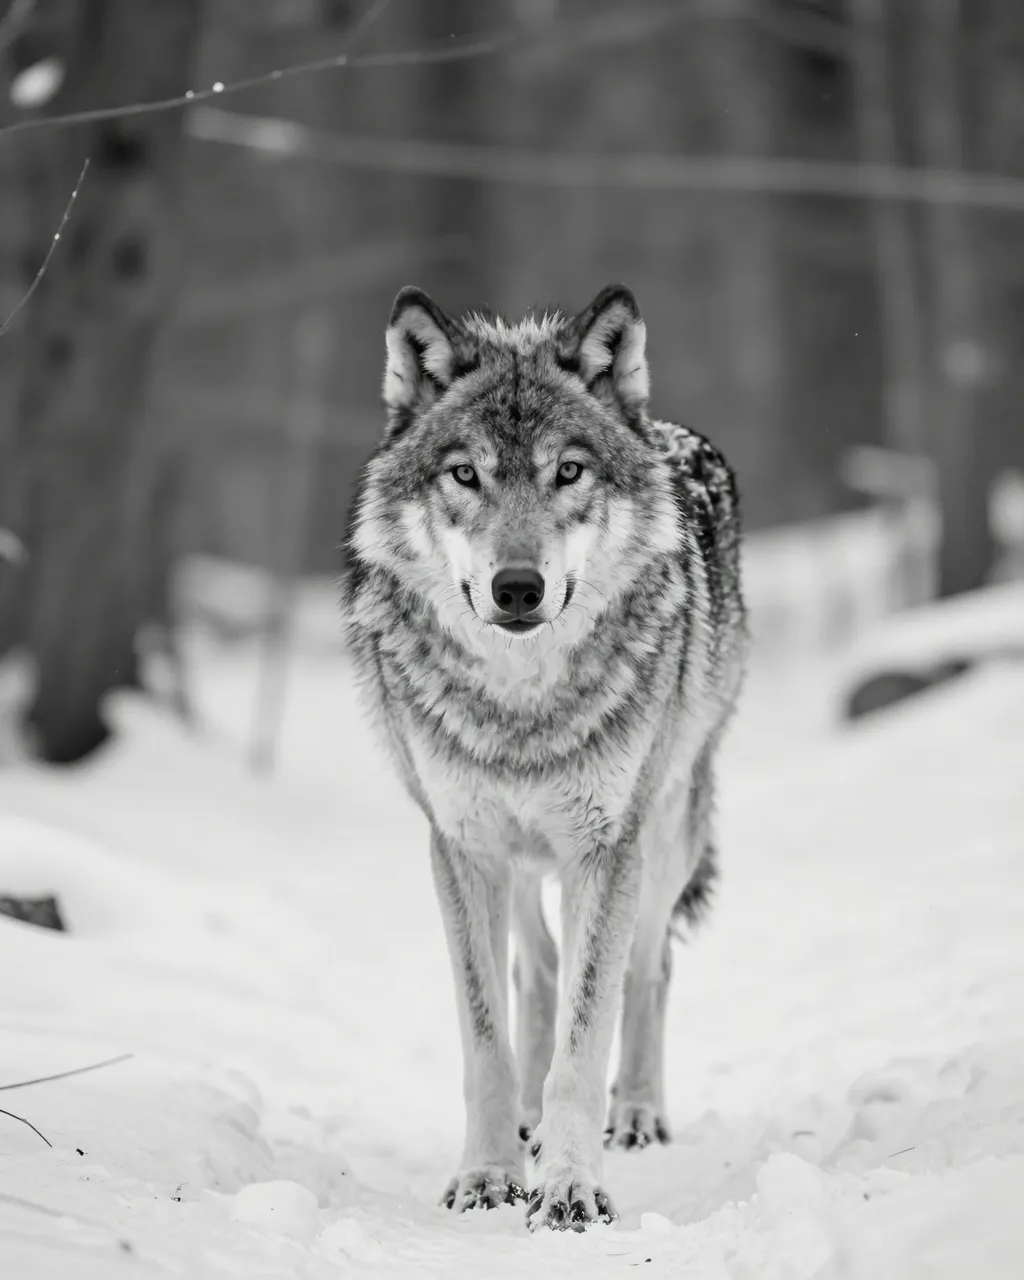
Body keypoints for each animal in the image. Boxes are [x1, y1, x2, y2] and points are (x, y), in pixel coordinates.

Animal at [343, 283, 747, 1232]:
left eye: (568, 472)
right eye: (466, 475)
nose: (518, 587)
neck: (522, 707)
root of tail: (667, 425)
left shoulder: (607, 846)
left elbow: (586, 1035)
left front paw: (570, 1186)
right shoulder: (461, 848)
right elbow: (487, 1036)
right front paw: (489, 1174)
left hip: (665, 833)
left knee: (649, 967)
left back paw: (636, 1115)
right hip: (523, 860)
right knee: (537, 965)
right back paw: (527, 1124)